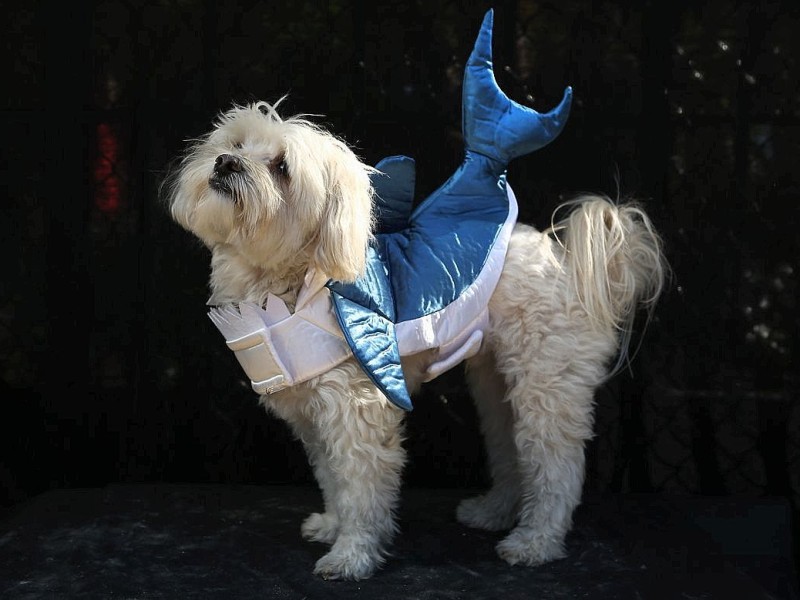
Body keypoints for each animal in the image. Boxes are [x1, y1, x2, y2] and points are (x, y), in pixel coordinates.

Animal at [161, 10, 664, 580]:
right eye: (237, 144)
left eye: (282, 168)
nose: (225, 163)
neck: (291, 281)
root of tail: (565, 263)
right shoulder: (314, 415)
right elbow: (333, 479)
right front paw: (333, 527)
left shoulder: (357, 409)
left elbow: (361, 488)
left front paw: (353, 555)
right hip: (495, 379)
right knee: (509, 444)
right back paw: (494, 511)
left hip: (547, 381)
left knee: (556, 463)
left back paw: (535, 541)